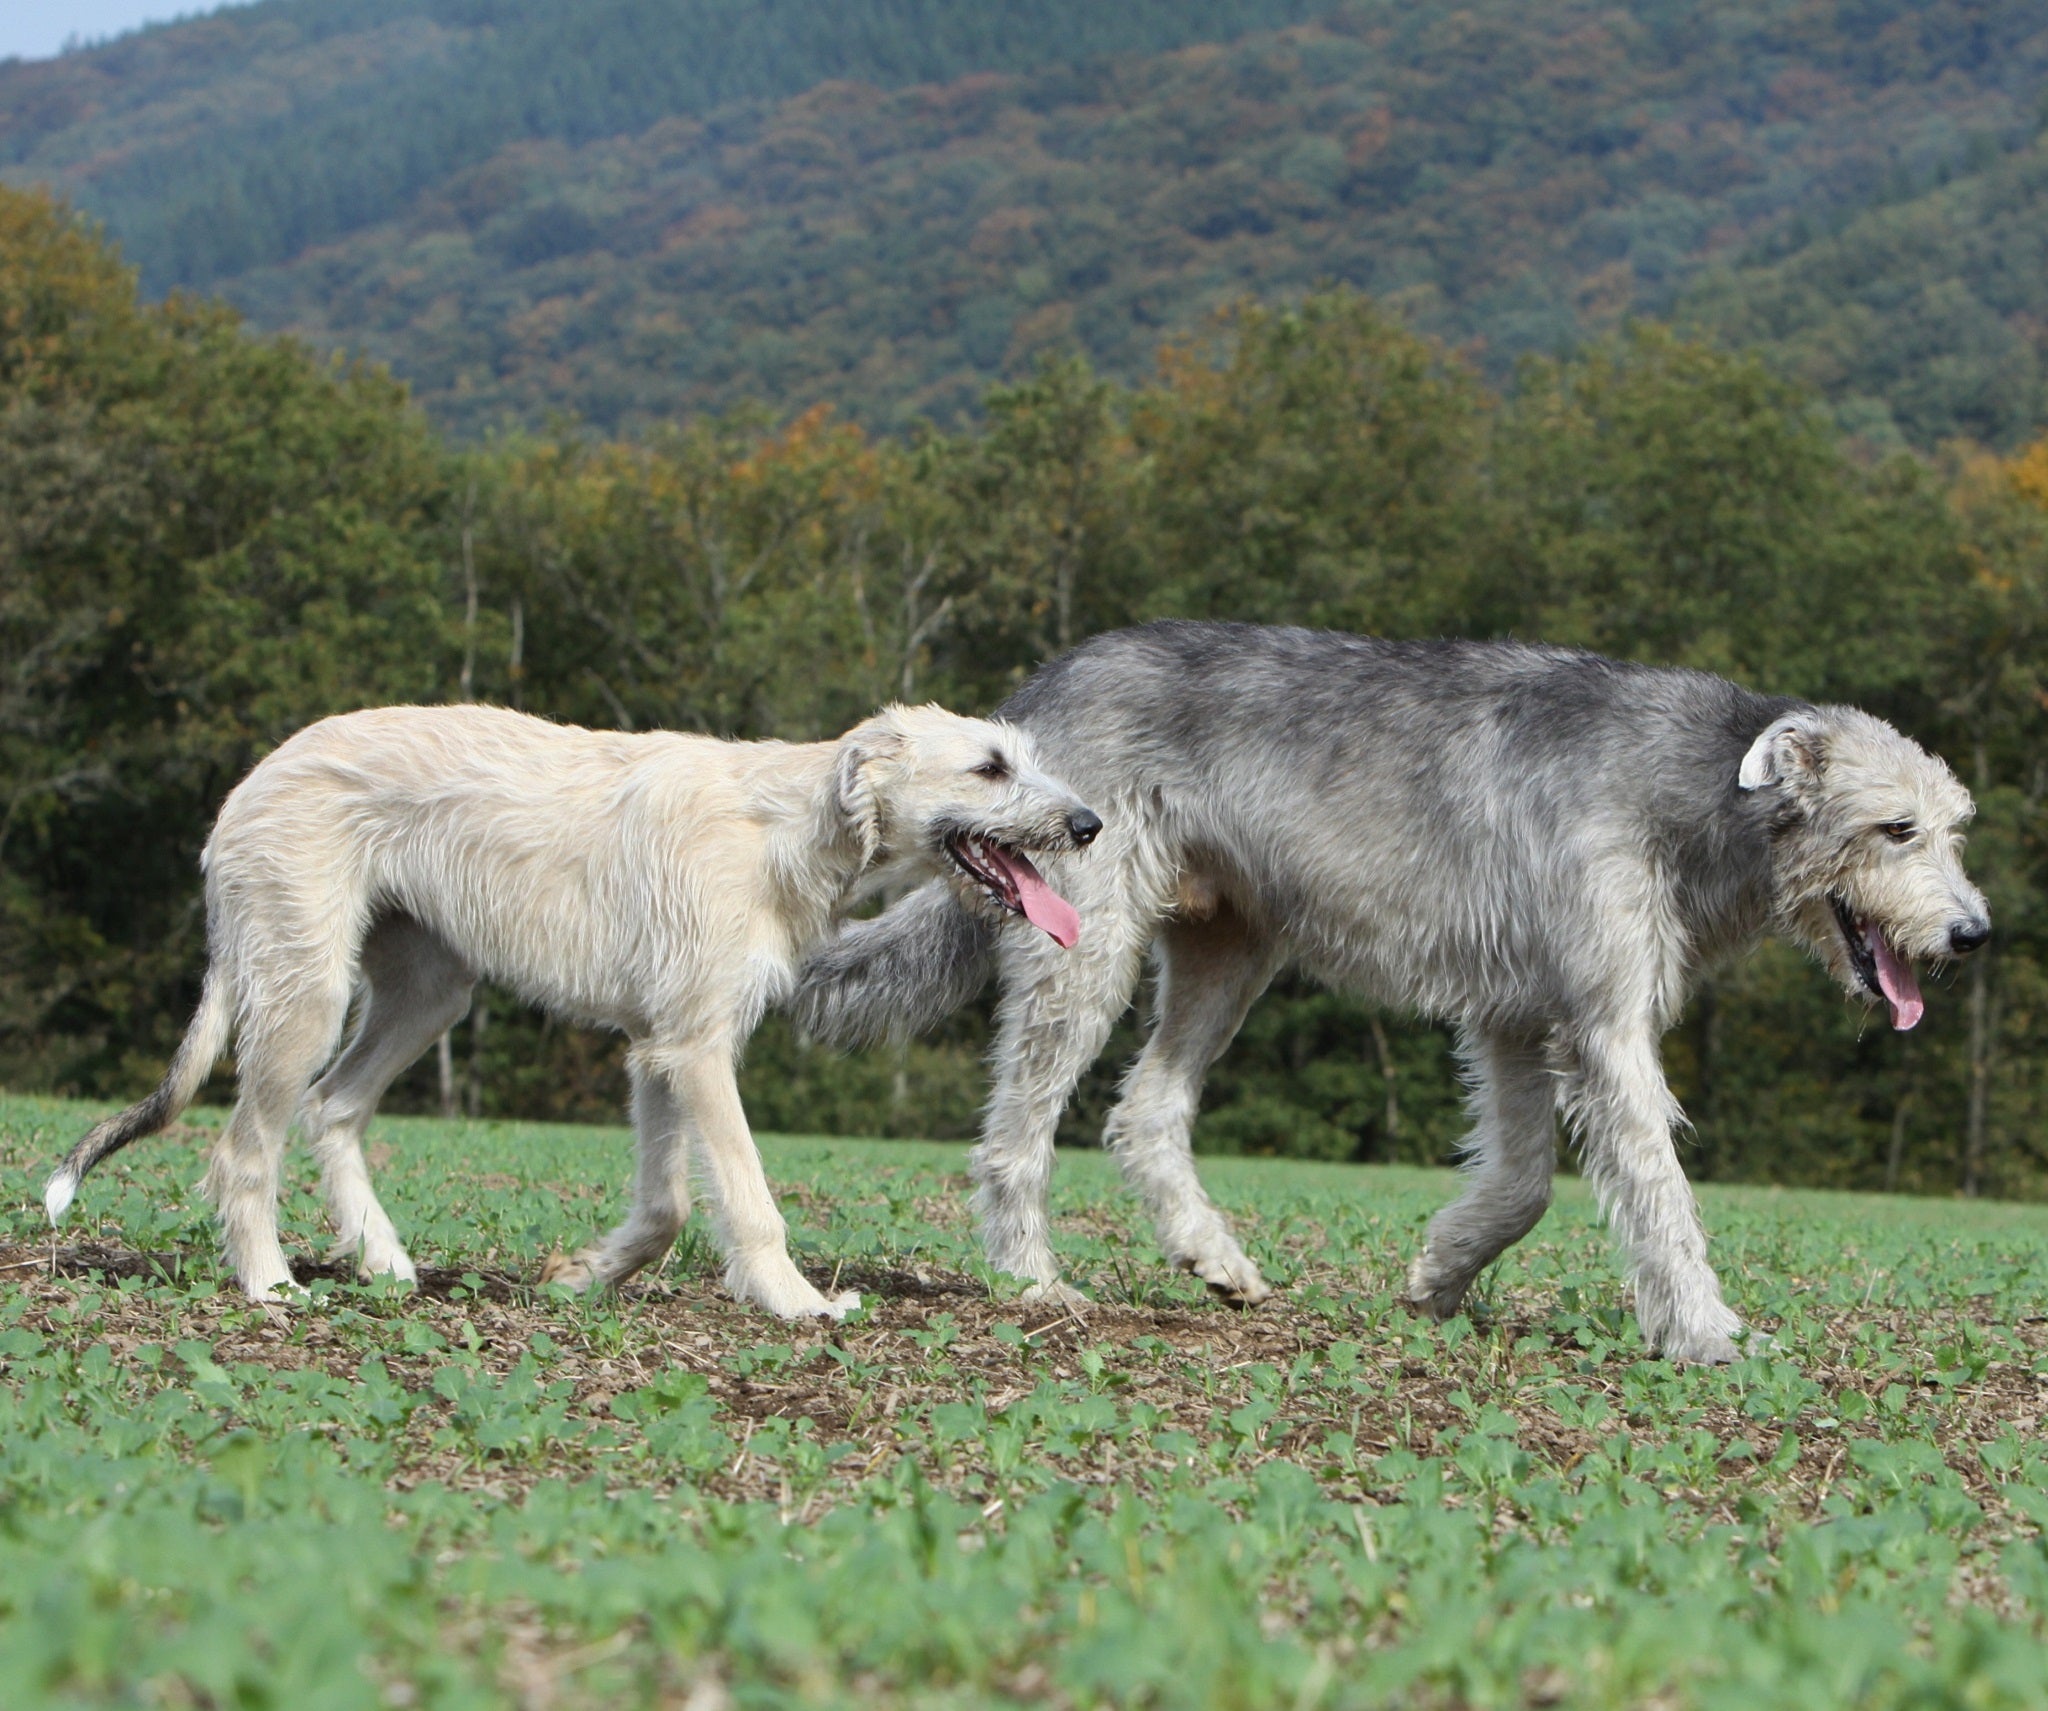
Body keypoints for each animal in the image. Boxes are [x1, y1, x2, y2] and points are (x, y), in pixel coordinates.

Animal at [44, 700, 1105, 1319]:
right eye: (990, 767)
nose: (1092, 823)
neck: (790, 822)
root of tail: (246, 787)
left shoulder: (658, 1048)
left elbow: (668, 1203)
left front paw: (584, 1276)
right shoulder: (697, 1046)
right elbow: (749, 1196)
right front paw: (797, 1303)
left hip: (428, 991)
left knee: (332, 1106)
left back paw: (383, 1259)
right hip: (305, 989)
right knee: (242, 1150)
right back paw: (270, 1283)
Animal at [798, 622, 1982, 1360]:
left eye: (1954, 827)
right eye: (1895, 828)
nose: (1973, 933)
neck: (1695, 788)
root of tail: (1030, 699)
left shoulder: (1515, 1018)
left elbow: (1523, 1185)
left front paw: (1437, 1279)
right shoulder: (1603, 1024)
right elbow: (1656, 1192)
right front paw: (1706, 1333)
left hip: (1230, 951)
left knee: (1145, 1110)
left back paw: (1215, 1258)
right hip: (1087, 948)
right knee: (1017, 1131)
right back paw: (1032, 1281)